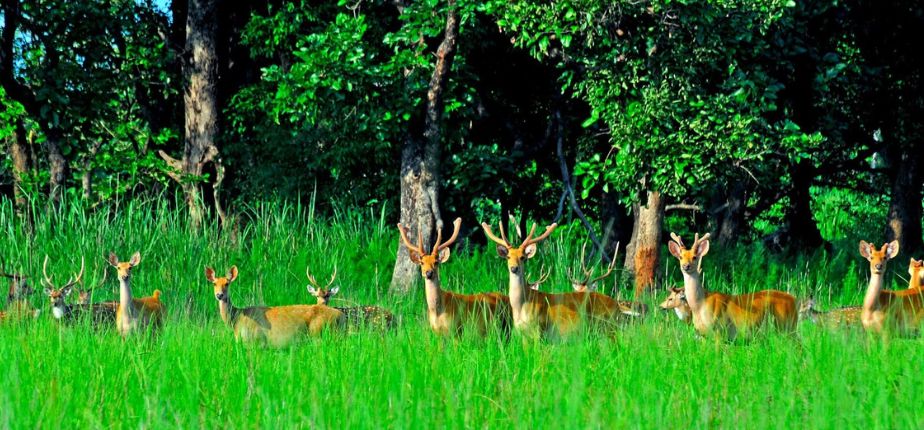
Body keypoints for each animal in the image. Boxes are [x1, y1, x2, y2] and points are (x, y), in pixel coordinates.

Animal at [205, 264, 342, 348]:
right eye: (214, 283)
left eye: (227, 283)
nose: (219, 295)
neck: (237, 319)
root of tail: (342, 315)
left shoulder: (256, 341)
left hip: (320, 334)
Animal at [480, 218, 632, 340]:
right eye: (508, 256)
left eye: (523, 257)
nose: (514, 268)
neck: (522, 306)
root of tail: (617, 305)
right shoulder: (521, 333)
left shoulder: (539, 329)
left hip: (608, 328)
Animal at [668, 232, 796, 340]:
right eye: (680, 257)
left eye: (694, 257)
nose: (686, 266)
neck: (699, 305)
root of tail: (795, 300)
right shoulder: (703, 335)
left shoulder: (719, 330)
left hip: (785, 325)